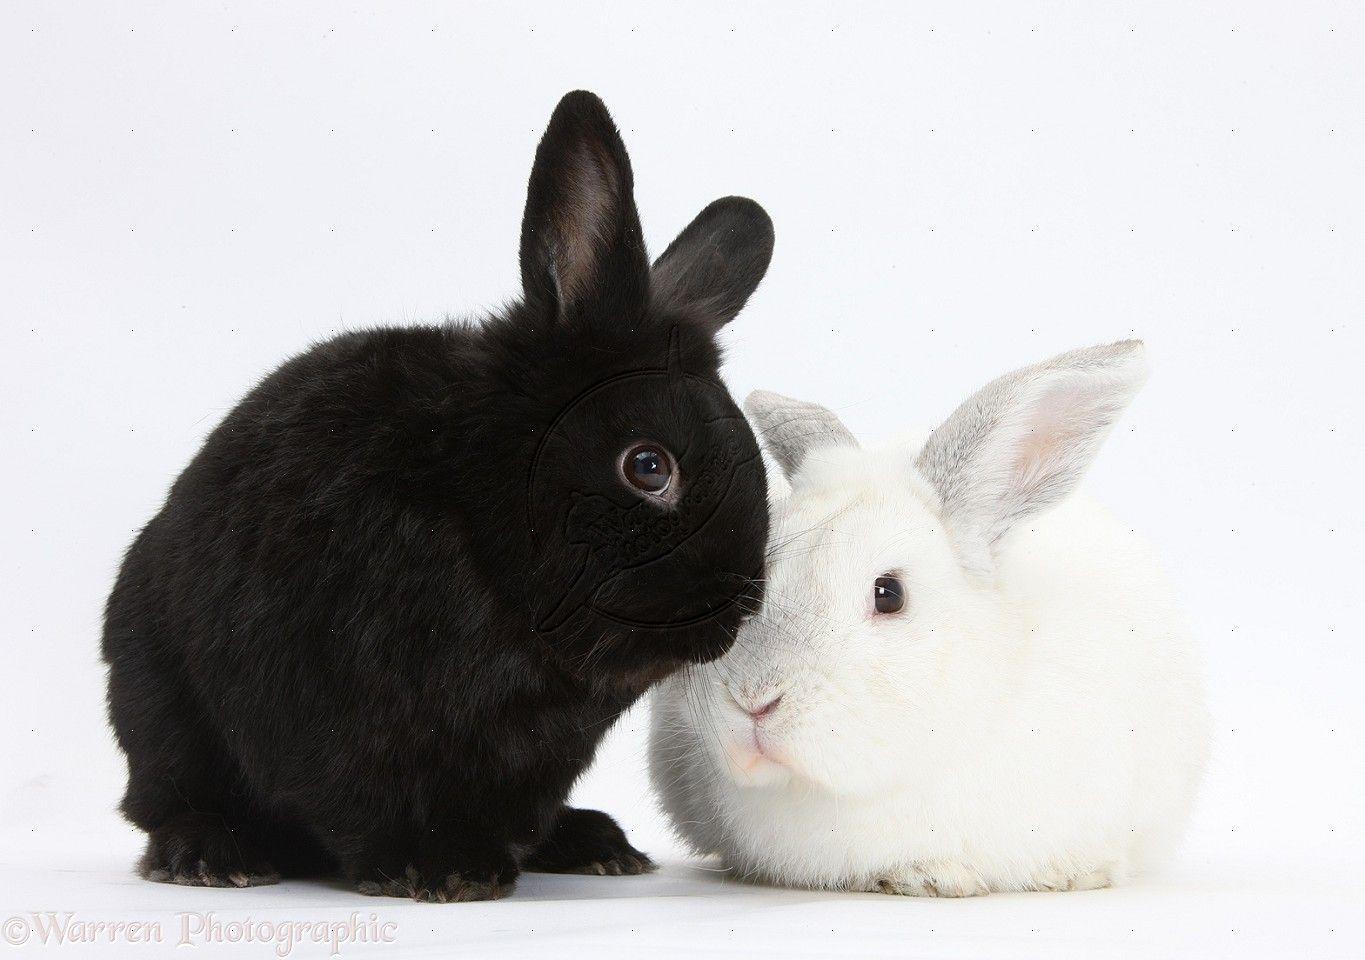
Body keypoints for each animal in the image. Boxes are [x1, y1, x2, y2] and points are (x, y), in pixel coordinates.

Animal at [102, 90, 775, 901]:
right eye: (647, 467)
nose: (739, 605)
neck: (476, 524)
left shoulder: (535, 760)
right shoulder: (332, 715)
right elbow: (358, 800)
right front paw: (436, 869)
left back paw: (592, 843)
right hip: (154, 703)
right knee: (165, 801)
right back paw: (210, 853)